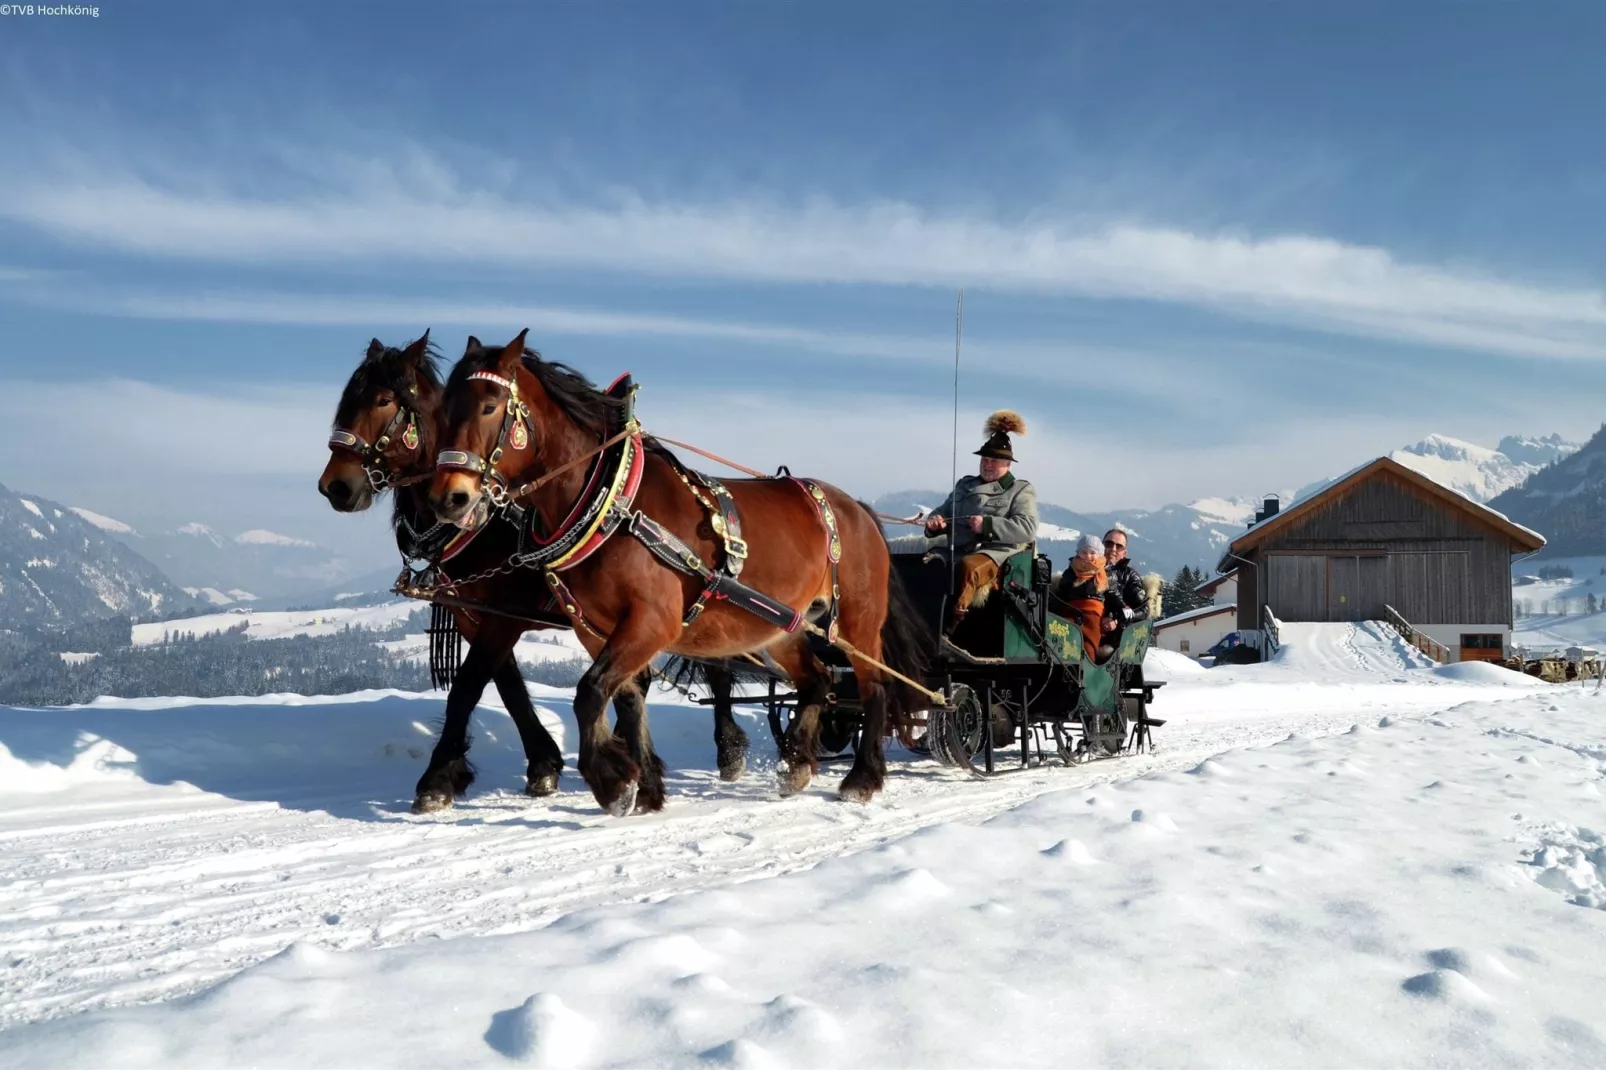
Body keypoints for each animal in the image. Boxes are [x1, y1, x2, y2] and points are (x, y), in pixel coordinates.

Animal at [316, 334, 754, 809]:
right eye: (345, 400)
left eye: (382, 400)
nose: (335, 486)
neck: (489, 525)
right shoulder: (477, 617)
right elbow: (507, 686)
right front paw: (544, 763)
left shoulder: (505, 615)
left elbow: (468, 686)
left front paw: (436, 780)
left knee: (716, 664)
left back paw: (727, 750)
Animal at [427, 329, 931, 812]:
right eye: (442, 411)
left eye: (490, 406)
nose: (448, 498)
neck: (613, 504)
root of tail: (858, 509)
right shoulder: (594, 628)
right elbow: (625, 697)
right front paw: (646, 786)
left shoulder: (653, 620)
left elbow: (589, 692)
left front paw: (612, 782)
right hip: (781, 626)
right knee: (818, 679)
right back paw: (796, 765)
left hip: (858, 619)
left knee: (874, 686)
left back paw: (862, 778)